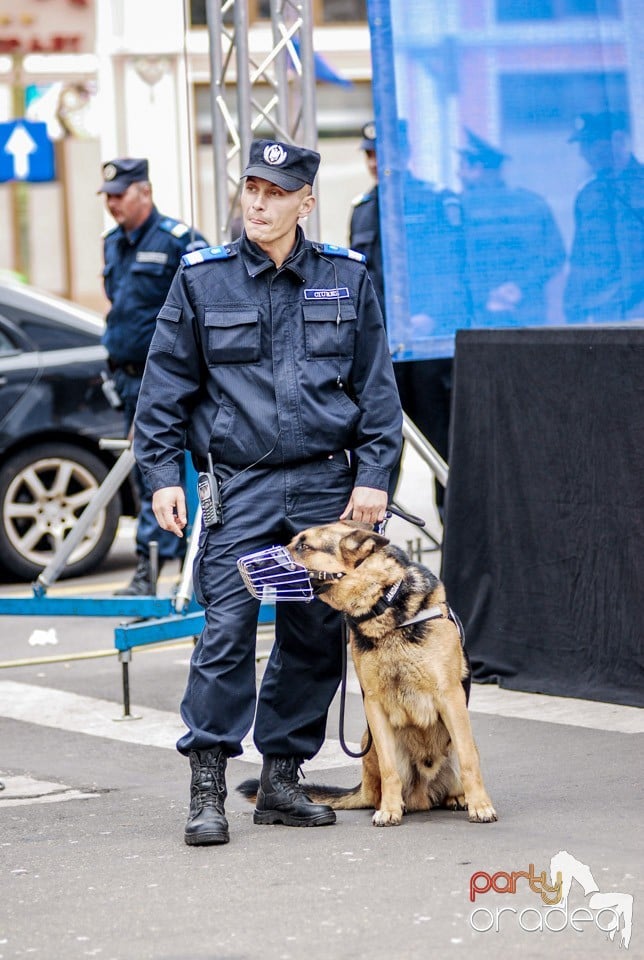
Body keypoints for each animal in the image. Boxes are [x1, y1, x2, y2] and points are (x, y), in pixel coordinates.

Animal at [242, 520, 498, 828]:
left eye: (303, 546)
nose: (247, 564)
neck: (382, 603)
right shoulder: (374, 704)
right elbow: (390, 770)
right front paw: (389, 809)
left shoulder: (450, 697)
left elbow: (468, 760)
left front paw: (481, 805)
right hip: (371, 742)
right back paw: (395, 803)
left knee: (463, 761)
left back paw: (460, 798)